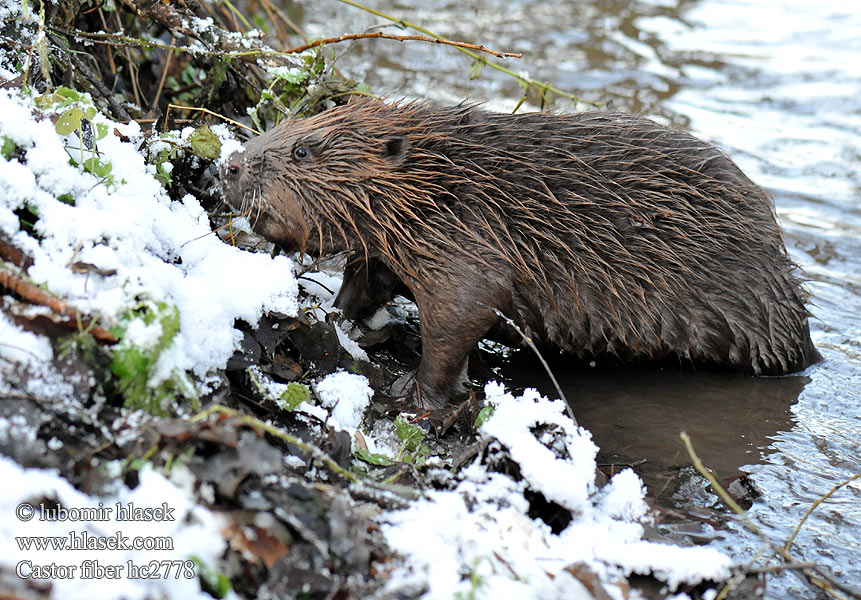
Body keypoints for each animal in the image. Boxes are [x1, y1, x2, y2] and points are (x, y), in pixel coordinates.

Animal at [222, 99, 820, 408]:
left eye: (304, 150)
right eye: (286, 128)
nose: (231, 165)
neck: (444, 181)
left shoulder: (467, 241)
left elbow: (462, 316)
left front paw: (415, 393)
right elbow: (368, 277)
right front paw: (338, 316)